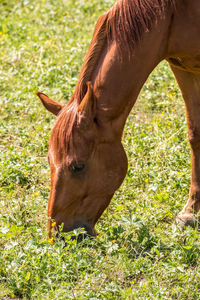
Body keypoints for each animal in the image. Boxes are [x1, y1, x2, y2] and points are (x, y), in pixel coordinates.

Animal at [36, 0, 200, 237]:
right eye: (49, 160)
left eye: (78, 166)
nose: (57, 235)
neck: (174, 12)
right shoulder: (182, 67)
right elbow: (195, 135)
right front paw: (190, 213)